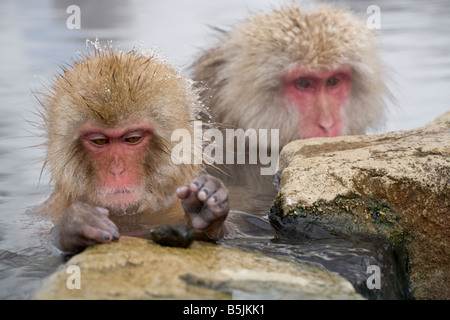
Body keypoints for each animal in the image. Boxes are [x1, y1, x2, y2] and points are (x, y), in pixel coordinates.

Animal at [37, 49, 230, 252]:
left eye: (133, 139)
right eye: (100, 141)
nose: (117, 171)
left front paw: (202, 211)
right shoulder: (50, 208)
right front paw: (77, 222)